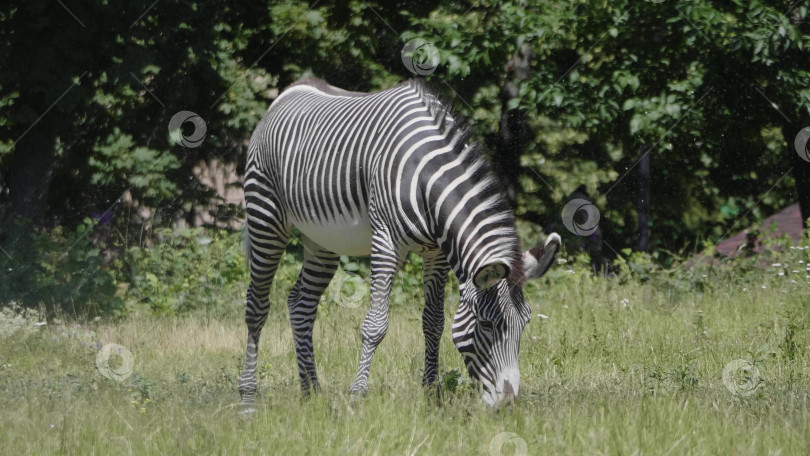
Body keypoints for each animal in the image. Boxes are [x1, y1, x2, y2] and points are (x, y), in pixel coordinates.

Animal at [237, 76, 560, 408]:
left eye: (526, 323)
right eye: (486, 324)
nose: (508, 404)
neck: (428, 180)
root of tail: (294, 88)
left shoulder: (436, 253)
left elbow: (434, 322)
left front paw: (431, 394)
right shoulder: (386, 242)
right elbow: (375, 325)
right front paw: (357, 396)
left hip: (322, 240)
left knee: (300, 304)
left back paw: (311, 391)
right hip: (266, 217)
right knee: (257, 305)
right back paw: (248, 395)